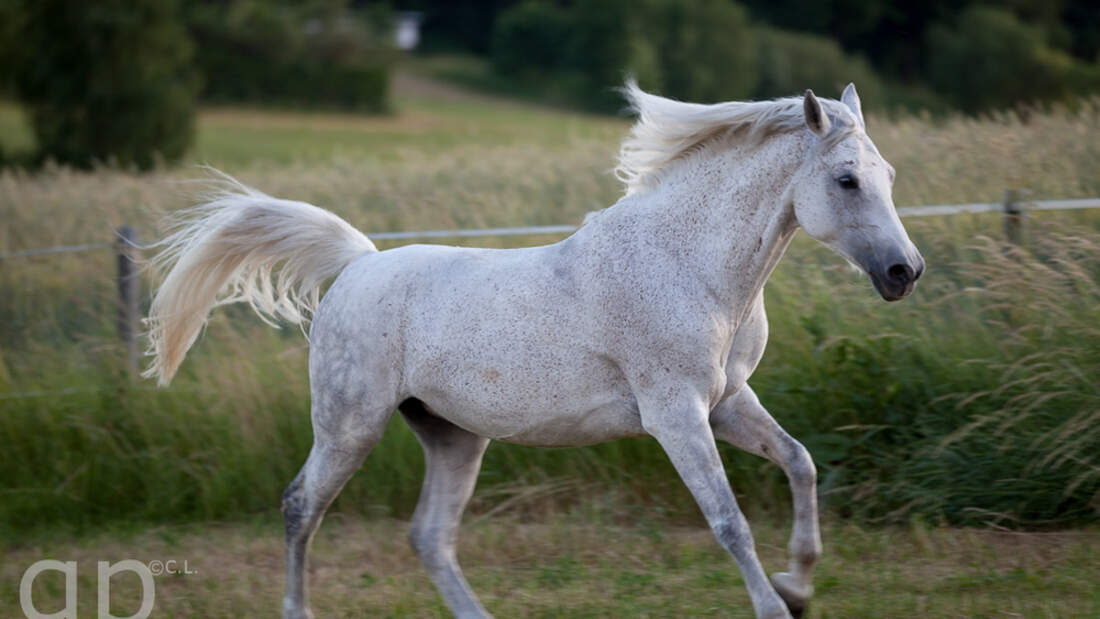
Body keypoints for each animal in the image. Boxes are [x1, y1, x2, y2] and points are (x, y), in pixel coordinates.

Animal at [144, 82, 923, 619]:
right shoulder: (676, 414)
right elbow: (729, 520)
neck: (689, 264)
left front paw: (798, 586)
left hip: (453, 436)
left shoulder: (727, 402)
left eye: (889, 175)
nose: (904, 273)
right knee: (301, 506)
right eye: (847, 179)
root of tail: (359, 264)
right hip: (349, 424)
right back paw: (298, 609)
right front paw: (775, 604)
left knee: (430, 535)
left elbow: (800, 462)